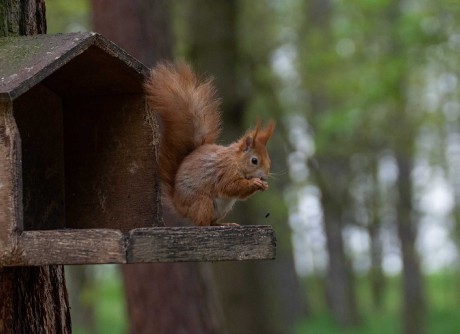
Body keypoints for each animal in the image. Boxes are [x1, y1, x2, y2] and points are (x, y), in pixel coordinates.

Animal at [145, 61, 274, 226]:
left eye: (269, 160)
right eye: (254, 160)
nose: (264, 177)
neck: (236, 161)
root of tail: (179, 205)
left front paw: (264, 185)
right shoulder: (225, 171)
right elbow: (230, 186)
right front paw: (255, 183)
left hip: (221, 209)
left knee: (212, 222)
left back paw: (225, 224)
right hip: (202, 202)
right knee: (202, 223)